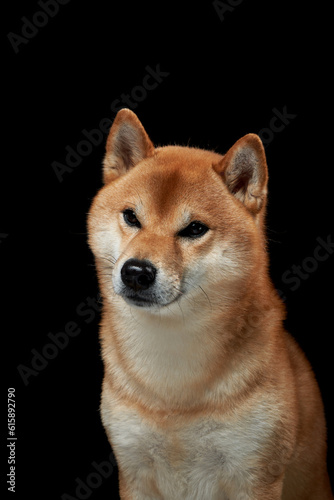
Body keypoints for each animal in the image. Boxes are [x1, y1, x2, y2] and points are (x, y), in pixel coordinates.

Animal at [87, 110, 332, 500]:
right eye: (131, 217)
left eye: (194, 229)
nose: (136, 272)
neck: (173, 387)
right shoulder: (134, 471)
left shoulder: (255, 475)